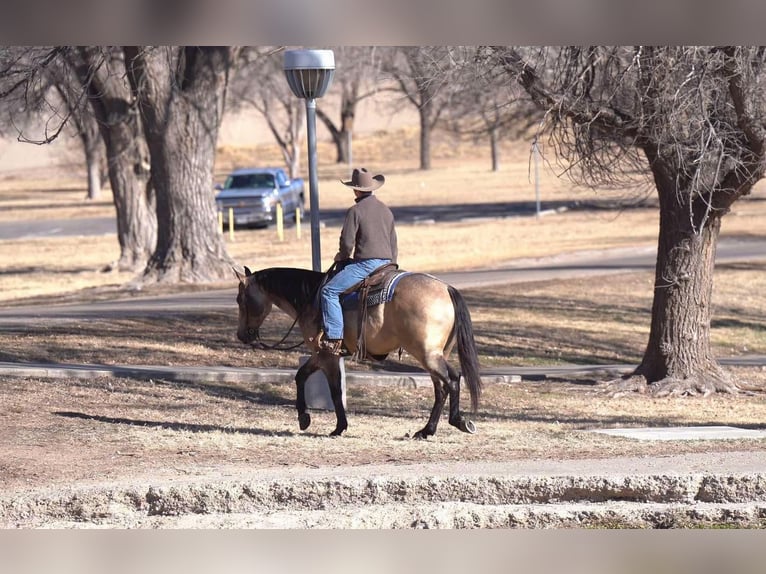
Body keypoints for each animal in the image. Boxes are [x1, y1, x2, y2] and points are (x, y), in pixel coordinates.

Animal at [237, 266, 484, 440]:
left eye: (241, 299)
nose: (241, 335)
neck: (310, 297)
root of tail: (446, 288)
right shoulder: (326, 356)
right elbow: (304, 377)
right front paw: (314, 420)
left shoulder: (325, 354)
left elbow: (331, 389)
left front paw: (324, 424)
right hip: (436, 354)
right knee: (441, 389)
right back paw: (426, 431)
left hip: (428, 355)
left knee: (452, 380)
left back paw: (458, 421)